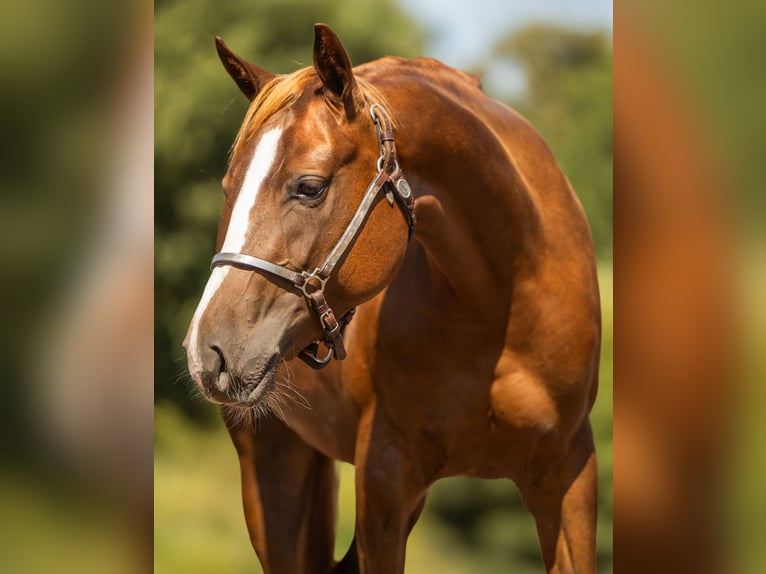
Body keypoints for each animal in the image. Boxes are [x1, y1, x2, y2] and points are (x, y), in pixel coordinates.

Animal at [184, 23, 601, 574]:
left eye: (309, 187)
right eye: (228, 187)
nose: (207, 352)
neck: (498, 302)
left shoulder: (569, 477)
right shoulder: (384, 484)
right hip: (273, 461)